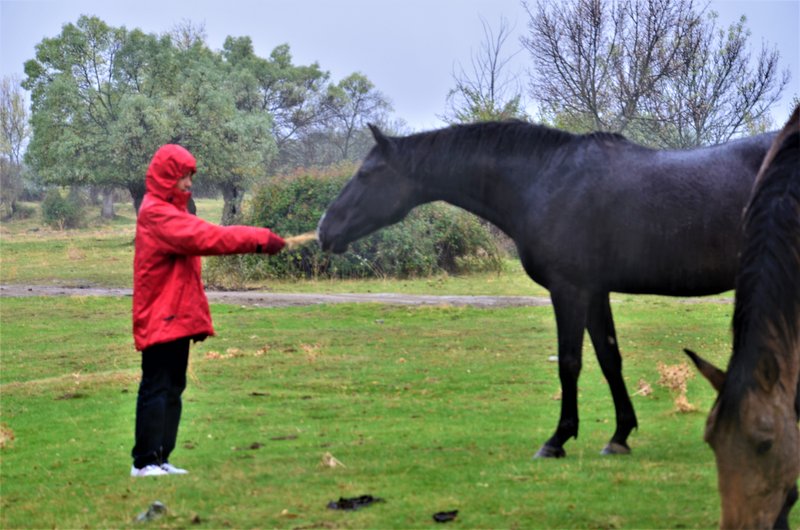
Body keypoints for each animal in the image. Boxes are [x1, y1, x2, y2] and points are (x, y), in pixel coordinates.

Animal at [318, 119, 776, 454]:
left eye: (367, 173)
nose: (325, 229)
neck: (545, 180)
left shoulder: (569, 289)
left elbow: (570, 363)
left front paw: (557, 440)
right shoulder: (594, 291)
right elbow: (610, 359)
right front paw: (619, 436)